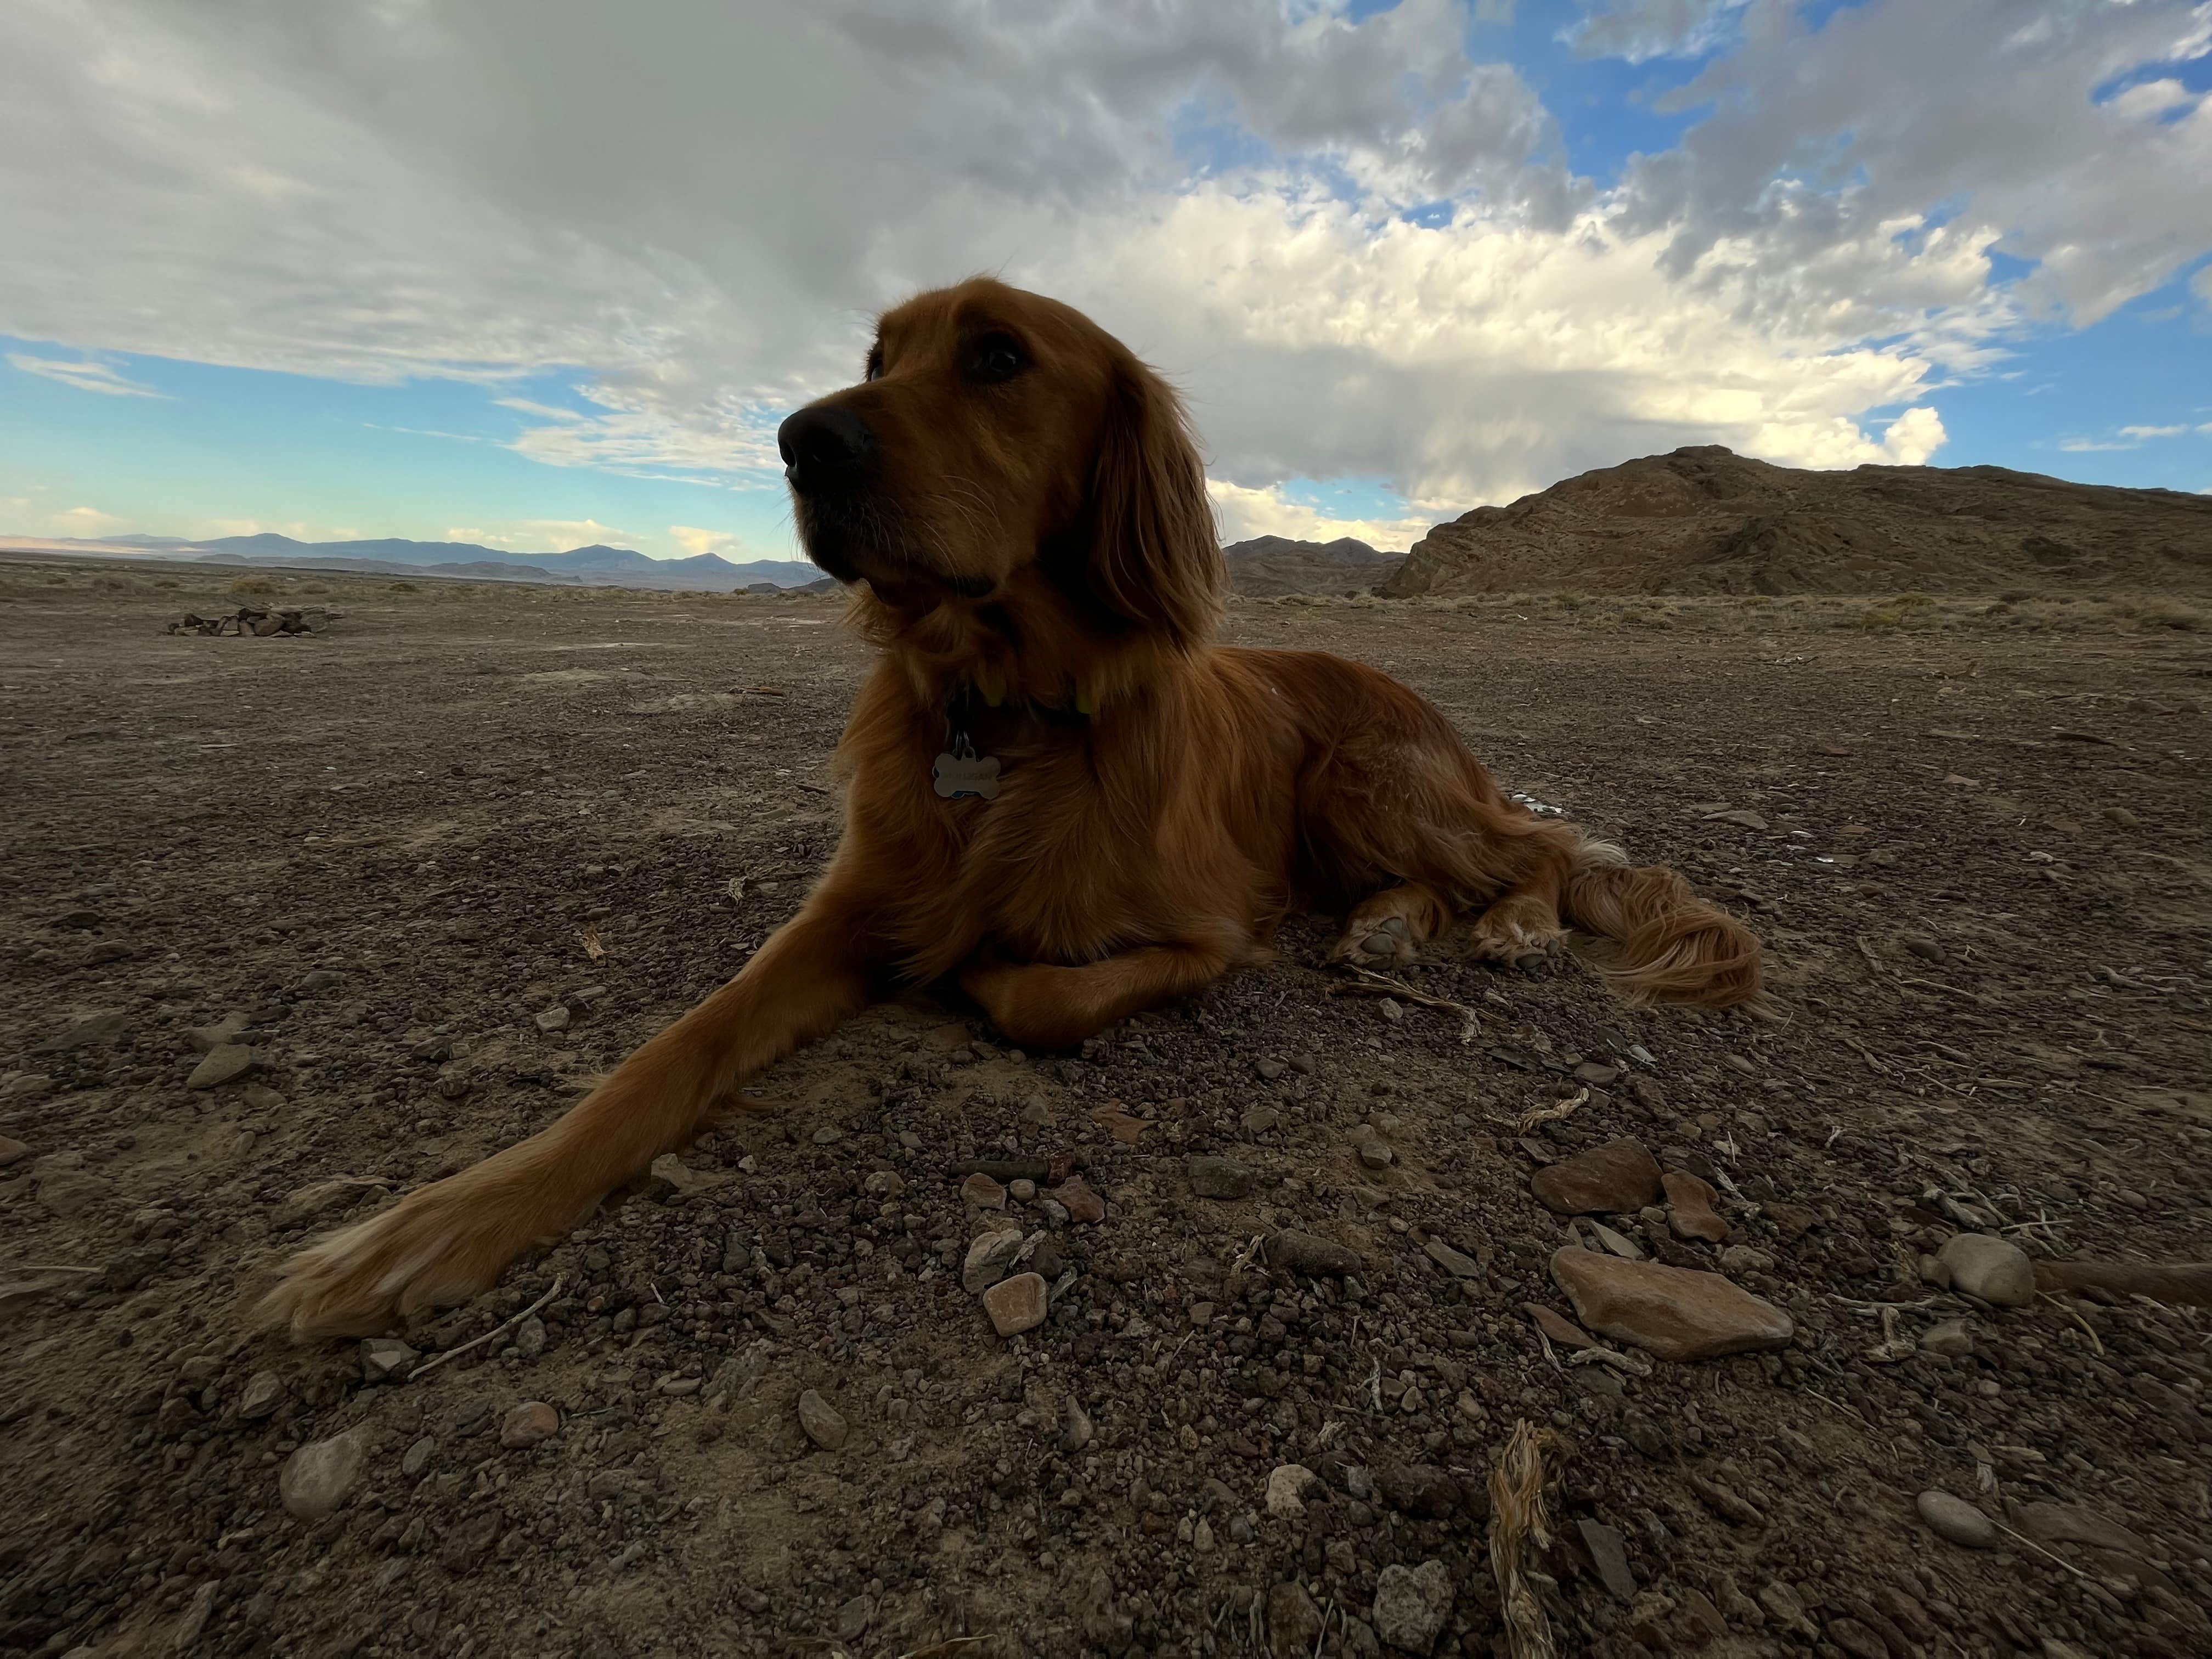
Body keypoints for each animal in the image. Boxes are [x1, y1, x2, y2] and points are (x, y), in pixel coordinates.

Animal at [267, 273, 1760, 1336]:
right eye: (878, 359)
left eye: (997, 357)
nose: (798, 441)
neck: (1002, 711)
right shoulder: (851, 903)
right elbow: (672, 1050)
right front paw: (437, 1223)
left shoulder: (1208, 932)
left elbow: (1040, 989)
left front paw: (980, 971)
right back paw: (1398, 928)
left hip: (1360, 776)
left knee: (1538, 848)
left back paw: (1510, 926)